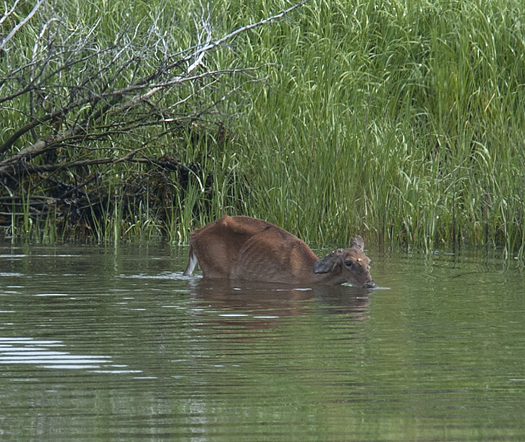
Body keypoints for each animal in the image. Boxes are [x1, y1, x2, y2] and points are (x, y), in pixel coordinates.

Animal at [182, 216, 374, 288]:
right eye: (348, 262)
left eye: (368, 262)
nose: (371, 284)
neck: (306, 274)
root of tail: (194, 234)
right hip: (215, 268)